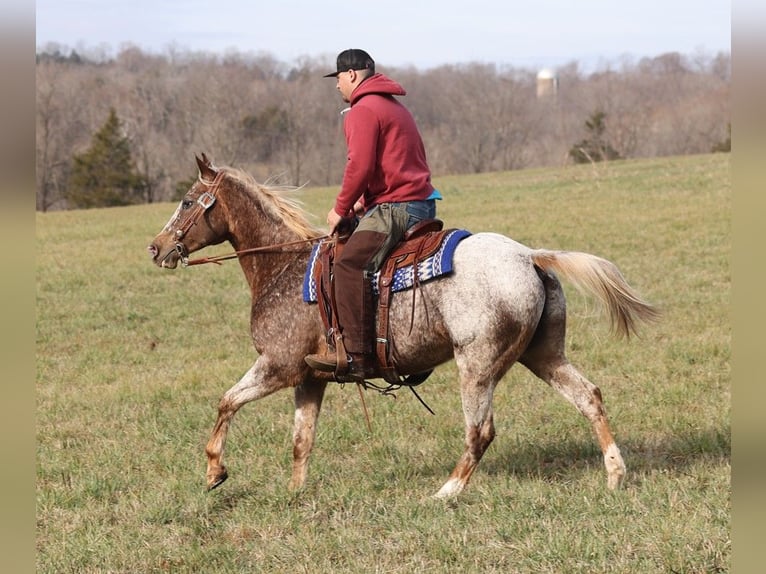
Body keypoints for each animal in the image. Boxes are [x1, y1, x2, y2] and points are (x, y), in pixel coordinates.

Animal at [150, 154, 660, 500]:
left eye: (187, 200)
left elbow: (226, 402)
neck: (282, 267)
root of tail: (527, 256)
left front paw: (215, 472)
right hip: (544, 355)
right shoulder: (310, 378)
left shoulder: (279, 366)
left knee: (481, 431)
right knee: (588, 396)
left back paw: (447, 492)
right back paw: (615, 474)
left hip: (476, 365)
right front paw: (295, 494)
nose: (156, 248)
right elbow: (301, 439)